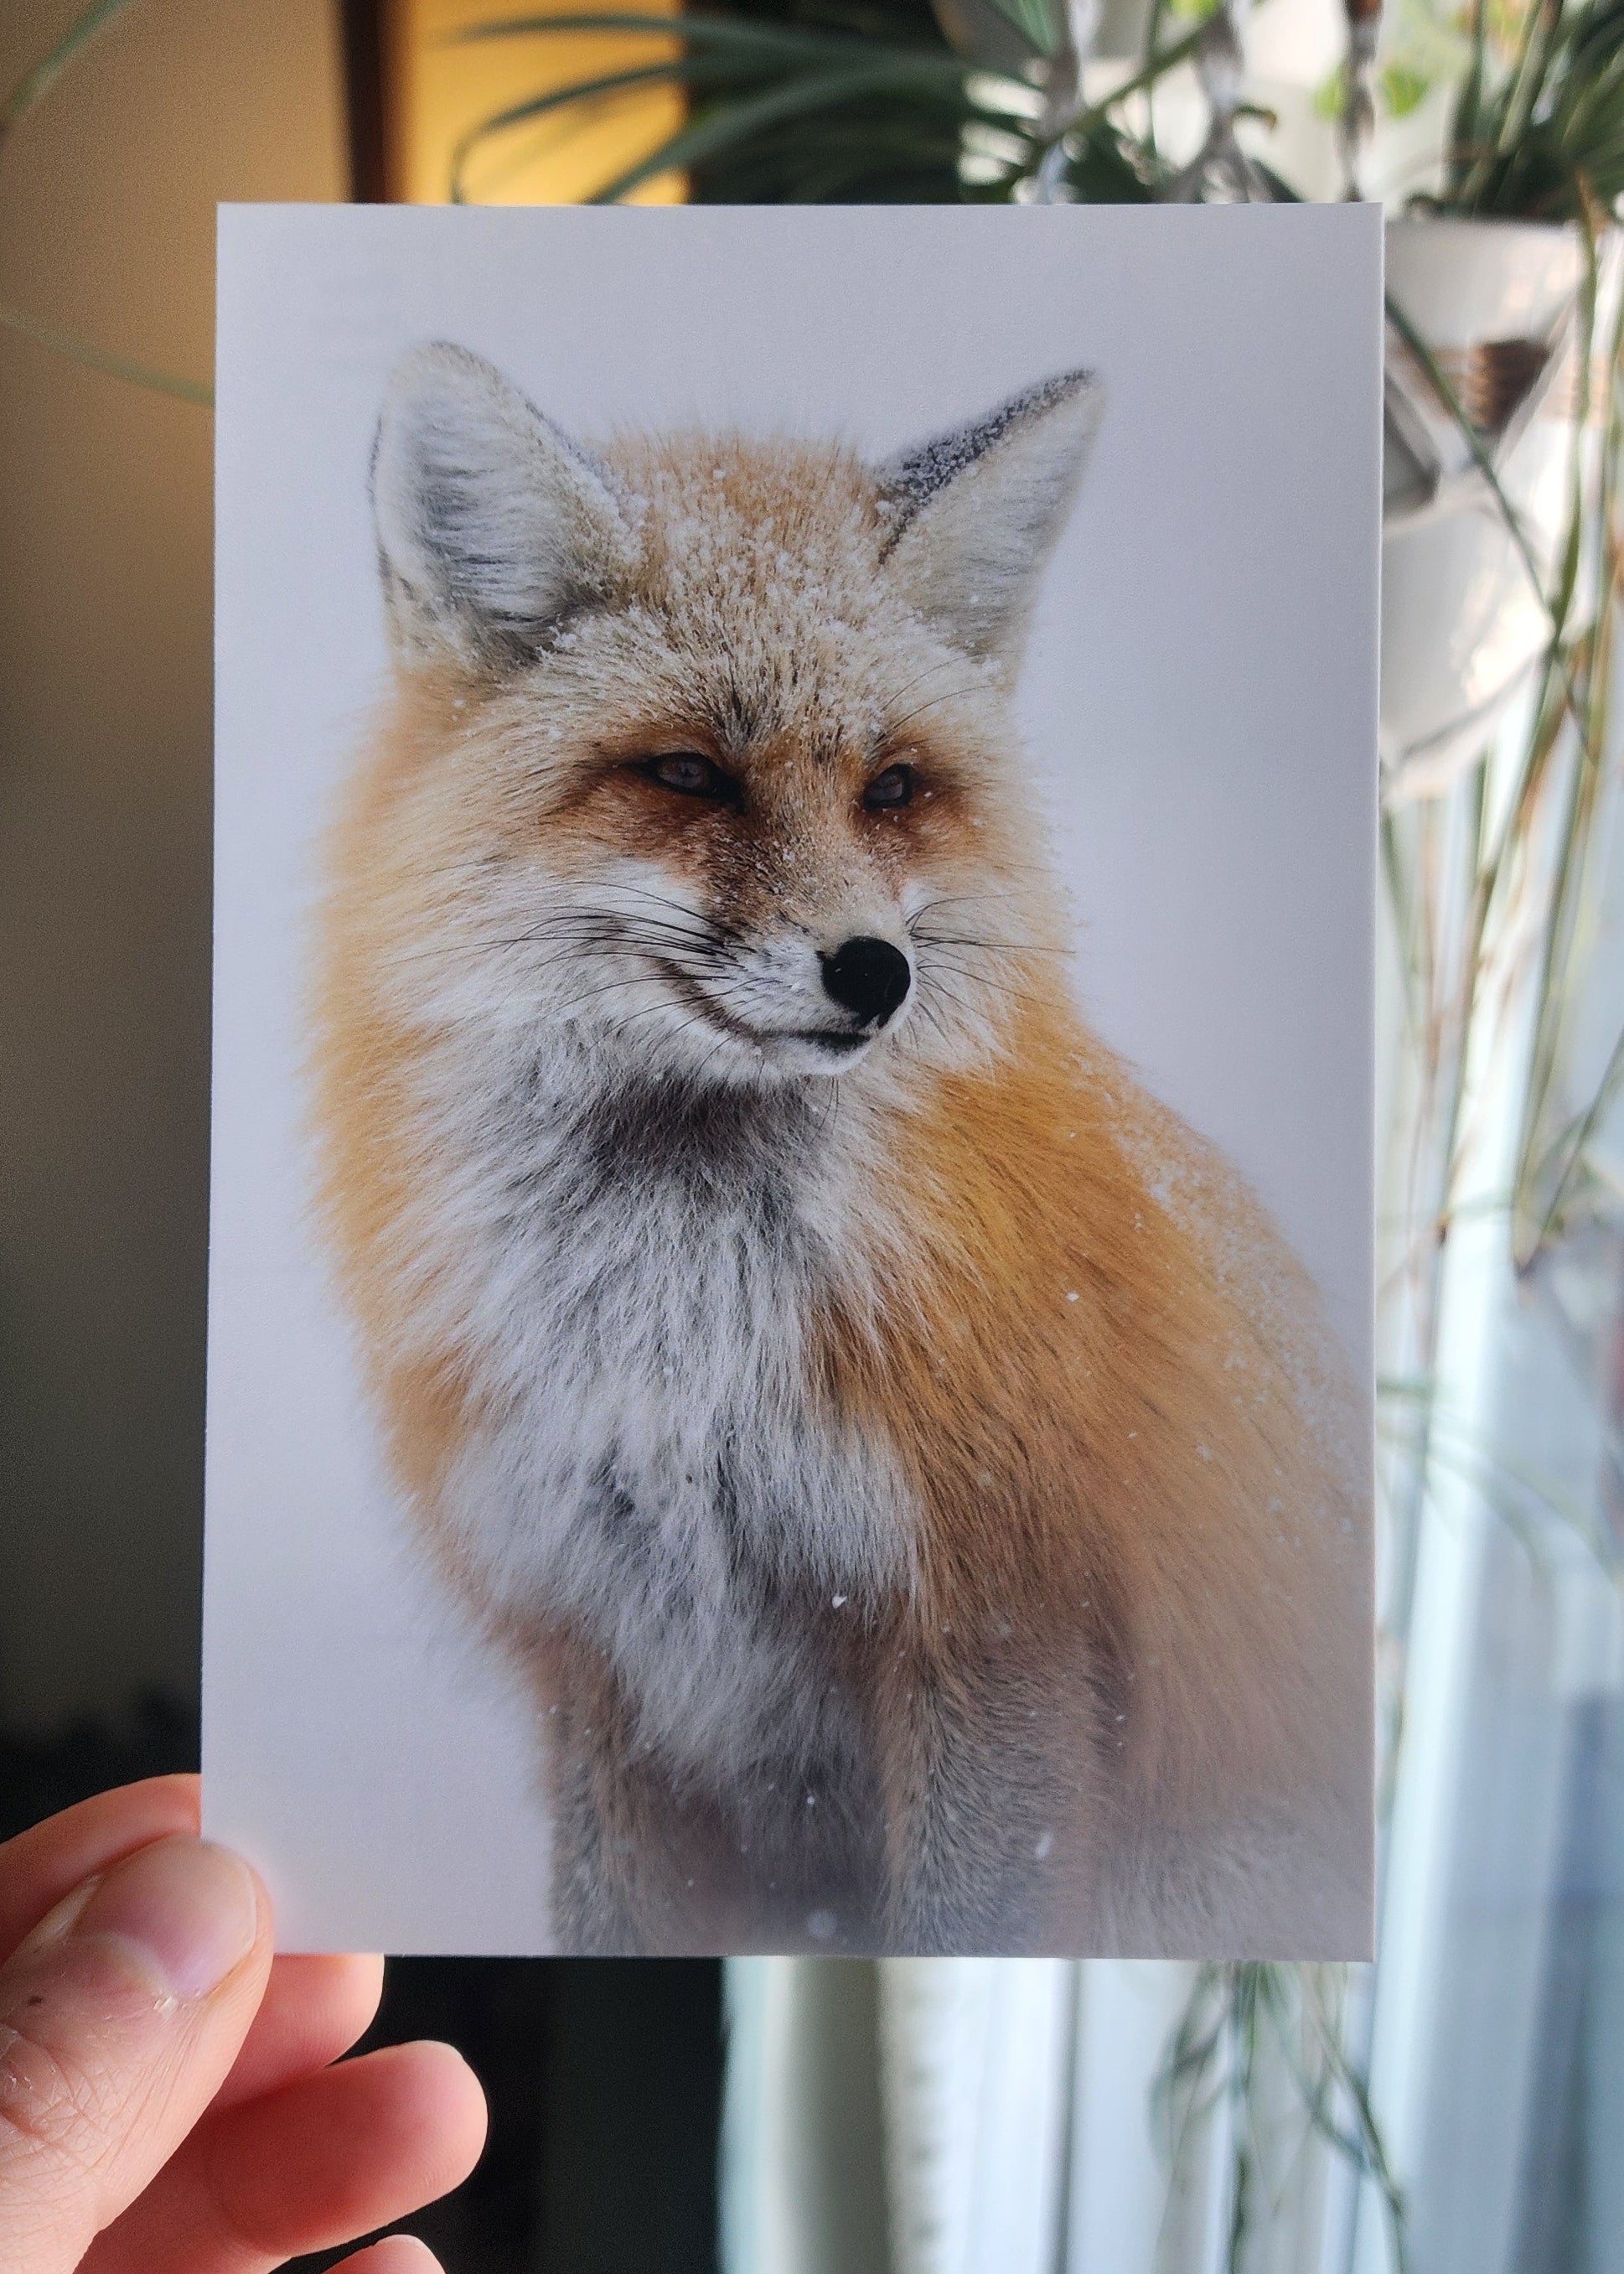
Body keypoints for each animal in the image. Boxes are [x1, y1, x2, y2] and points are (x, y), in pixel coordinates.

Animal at [310, 339, 1370, 1958]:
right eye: (688, 775)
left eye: (890, 787)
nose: (875, 973)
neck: (675, 1348)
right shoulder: (605, 1658)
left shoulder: (996, 1628)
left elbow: (972, 1931)